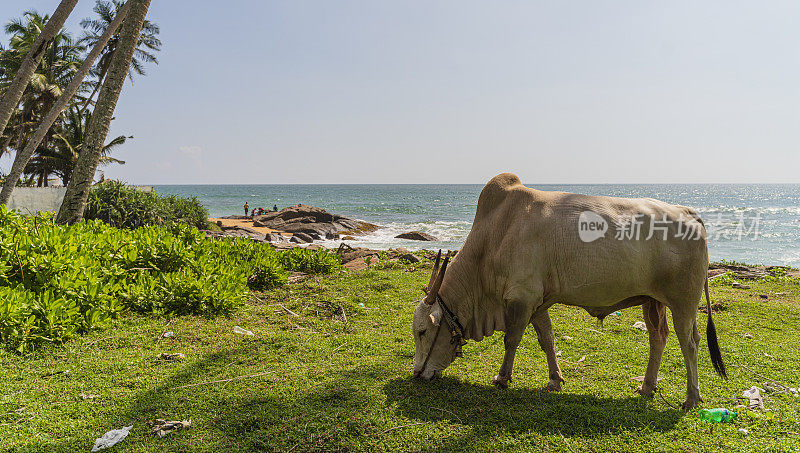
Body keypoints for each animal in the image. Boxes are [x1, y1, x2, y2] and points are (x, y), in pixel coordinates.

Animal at [412, 172, 724, 410]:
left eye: (422, 332)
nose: (417, 374)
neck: (494, 237)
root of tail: (690, 213)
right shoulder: (537, 302)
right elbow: (547, 340)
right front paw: (554, 379)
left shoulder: (521, 298)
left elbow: (511, 340)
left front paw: (502, 378)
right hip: (652, 301)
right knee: (658, 337)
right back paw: (647, 387)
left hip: (683, 302)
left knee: (690, 343)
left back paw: (691, 398)